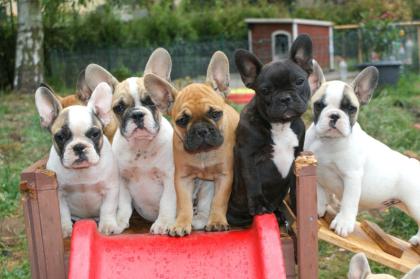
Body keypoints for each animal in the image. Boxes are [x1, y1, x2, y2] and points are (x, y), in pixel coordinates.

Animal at [34, 82, 120, 237]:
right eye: (60, 137)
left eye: (95, 134)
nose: (79, 147)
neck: (82, 171)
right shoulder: (59, 194)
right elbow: (63, 213)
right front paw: (64, 228)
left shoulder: (110, 189)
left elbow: (107, 209)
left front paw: (107, 225)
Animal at [81, 47, 177, 234]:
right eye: (119, 108)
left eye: (151, 102)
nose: (137, 114)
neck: (141, 146)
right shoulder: (123, 181)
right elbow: (123, 205)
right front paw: (119, 222)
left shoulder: (169, 178)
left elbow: (166, 203)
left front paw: (163, 223)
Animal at [144, 51, 240, 237]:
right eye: (182, 120)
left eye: (215, 114)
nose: (201, 130)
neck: (203, 153)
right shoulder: (183, 178)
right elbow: (184, 205)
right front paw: (181, 224)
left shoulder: (225, 176)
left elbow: (219, 201)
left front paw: (216, 222)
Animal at [226, 35, 316, 228]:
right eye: (265, 90)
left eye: (299, 81)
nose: (285, 98)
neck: (280, 125)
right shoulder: (247, 154)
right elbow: (253, 180)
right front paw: (259, 205)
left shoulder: (297, 155)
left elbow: (296, 184)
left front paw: (297, 205)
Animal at [304, 63, 420, 245]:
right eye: (319, 105)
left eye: (351, 109)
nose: (334, 115)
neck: (327, 142)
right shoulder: (317, 173)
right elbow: (319, 193)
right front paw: (318, 209)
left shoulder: (352, 177)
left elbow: (348, 201)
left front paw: (343, 223)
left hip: (415, 204)